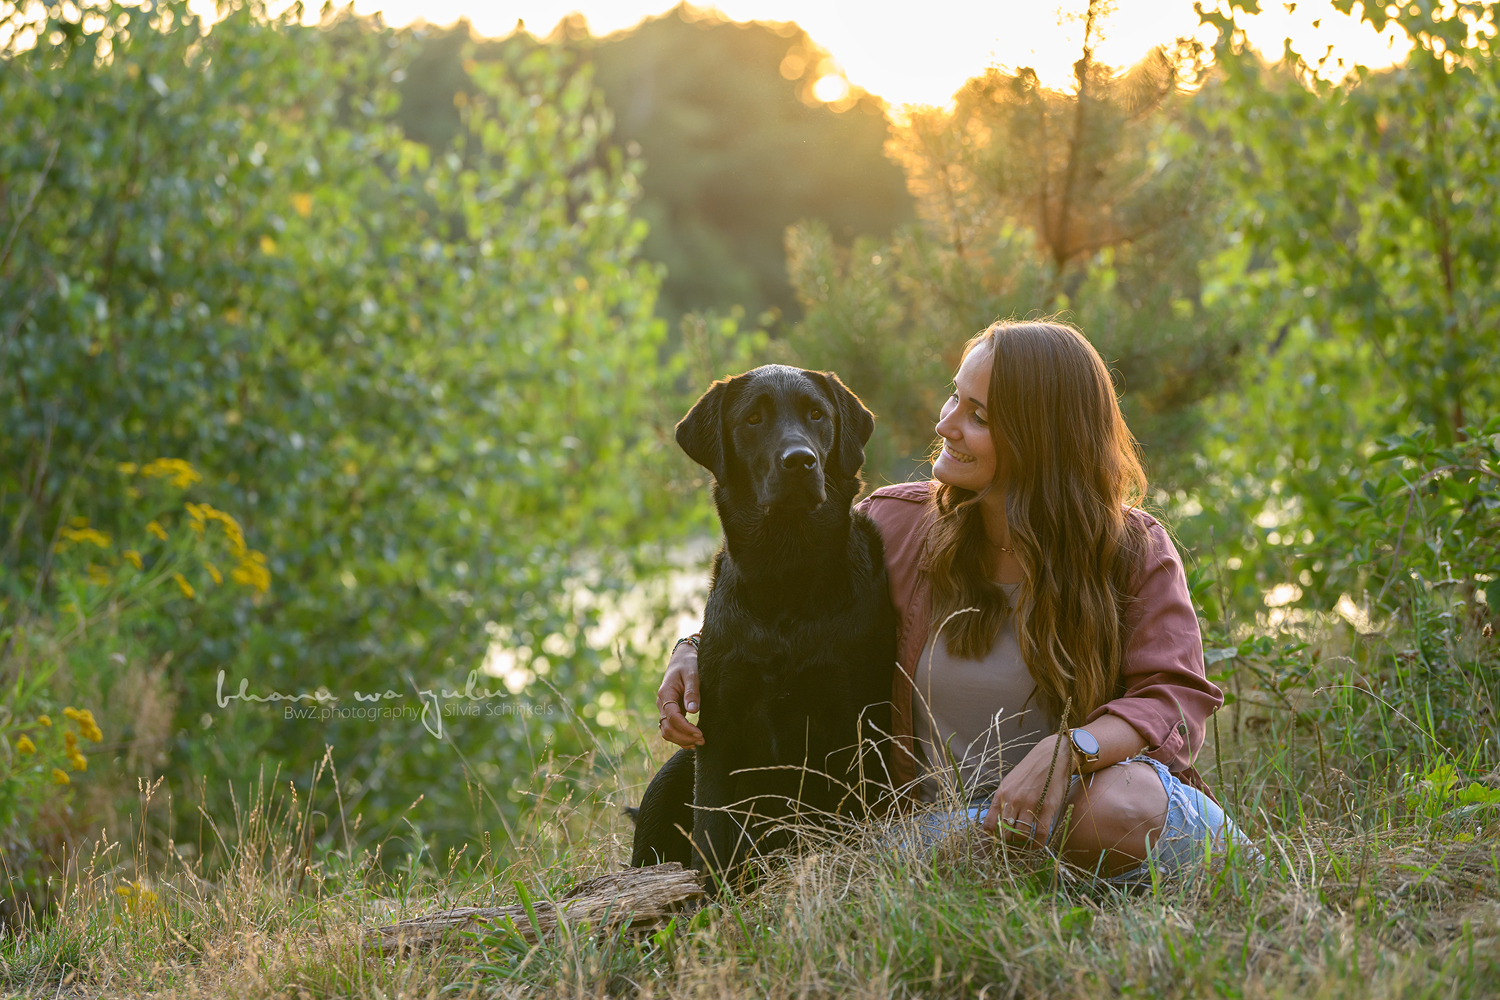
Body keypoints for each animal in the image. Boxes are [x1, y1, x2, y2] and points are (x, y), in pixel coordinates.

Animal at [630, 367, 894, 881]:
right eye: (753, 418)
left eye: (817, 414)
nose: (800, 461)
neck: (786, 575)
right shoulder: (718, 725)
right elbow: (710, 835)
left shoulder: (856, 718)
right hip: (672, 773)